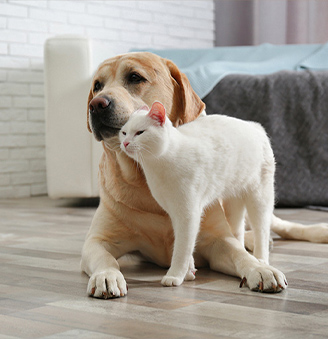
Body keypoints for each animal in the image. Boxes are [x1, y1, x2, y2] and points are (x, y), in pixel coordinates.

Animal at [120, 103, 274, 286]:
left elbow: (182, 246)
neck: (158, 164)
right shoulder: (173, 212)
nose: (125, 143)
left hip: (260, 196)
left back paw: (261, 260)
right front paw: (188, 271)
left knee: (262, 230)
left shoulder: (188, 213)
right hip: (233, 202)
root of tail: (255, 126)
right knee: (238, 231)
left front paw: (175, 275)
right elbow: (185, 243)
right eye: (124, 132)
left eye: (140, 132)